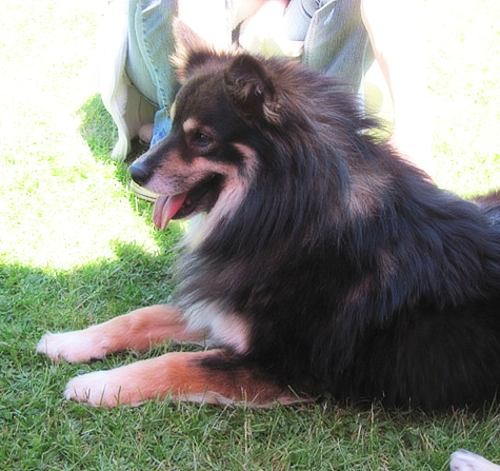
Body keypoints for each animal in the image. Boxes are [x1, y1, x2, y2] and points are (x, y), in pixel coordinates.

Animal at [37, 24, 500, 413]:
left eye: (201, 138)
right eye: (173, 126)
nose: (135, 171)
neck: (287, 218)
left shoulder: (284, 365)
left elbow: (178, 363)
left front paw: (99, 384)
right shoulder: (221, 305)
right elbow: (141, 316)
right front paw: (70, 341)